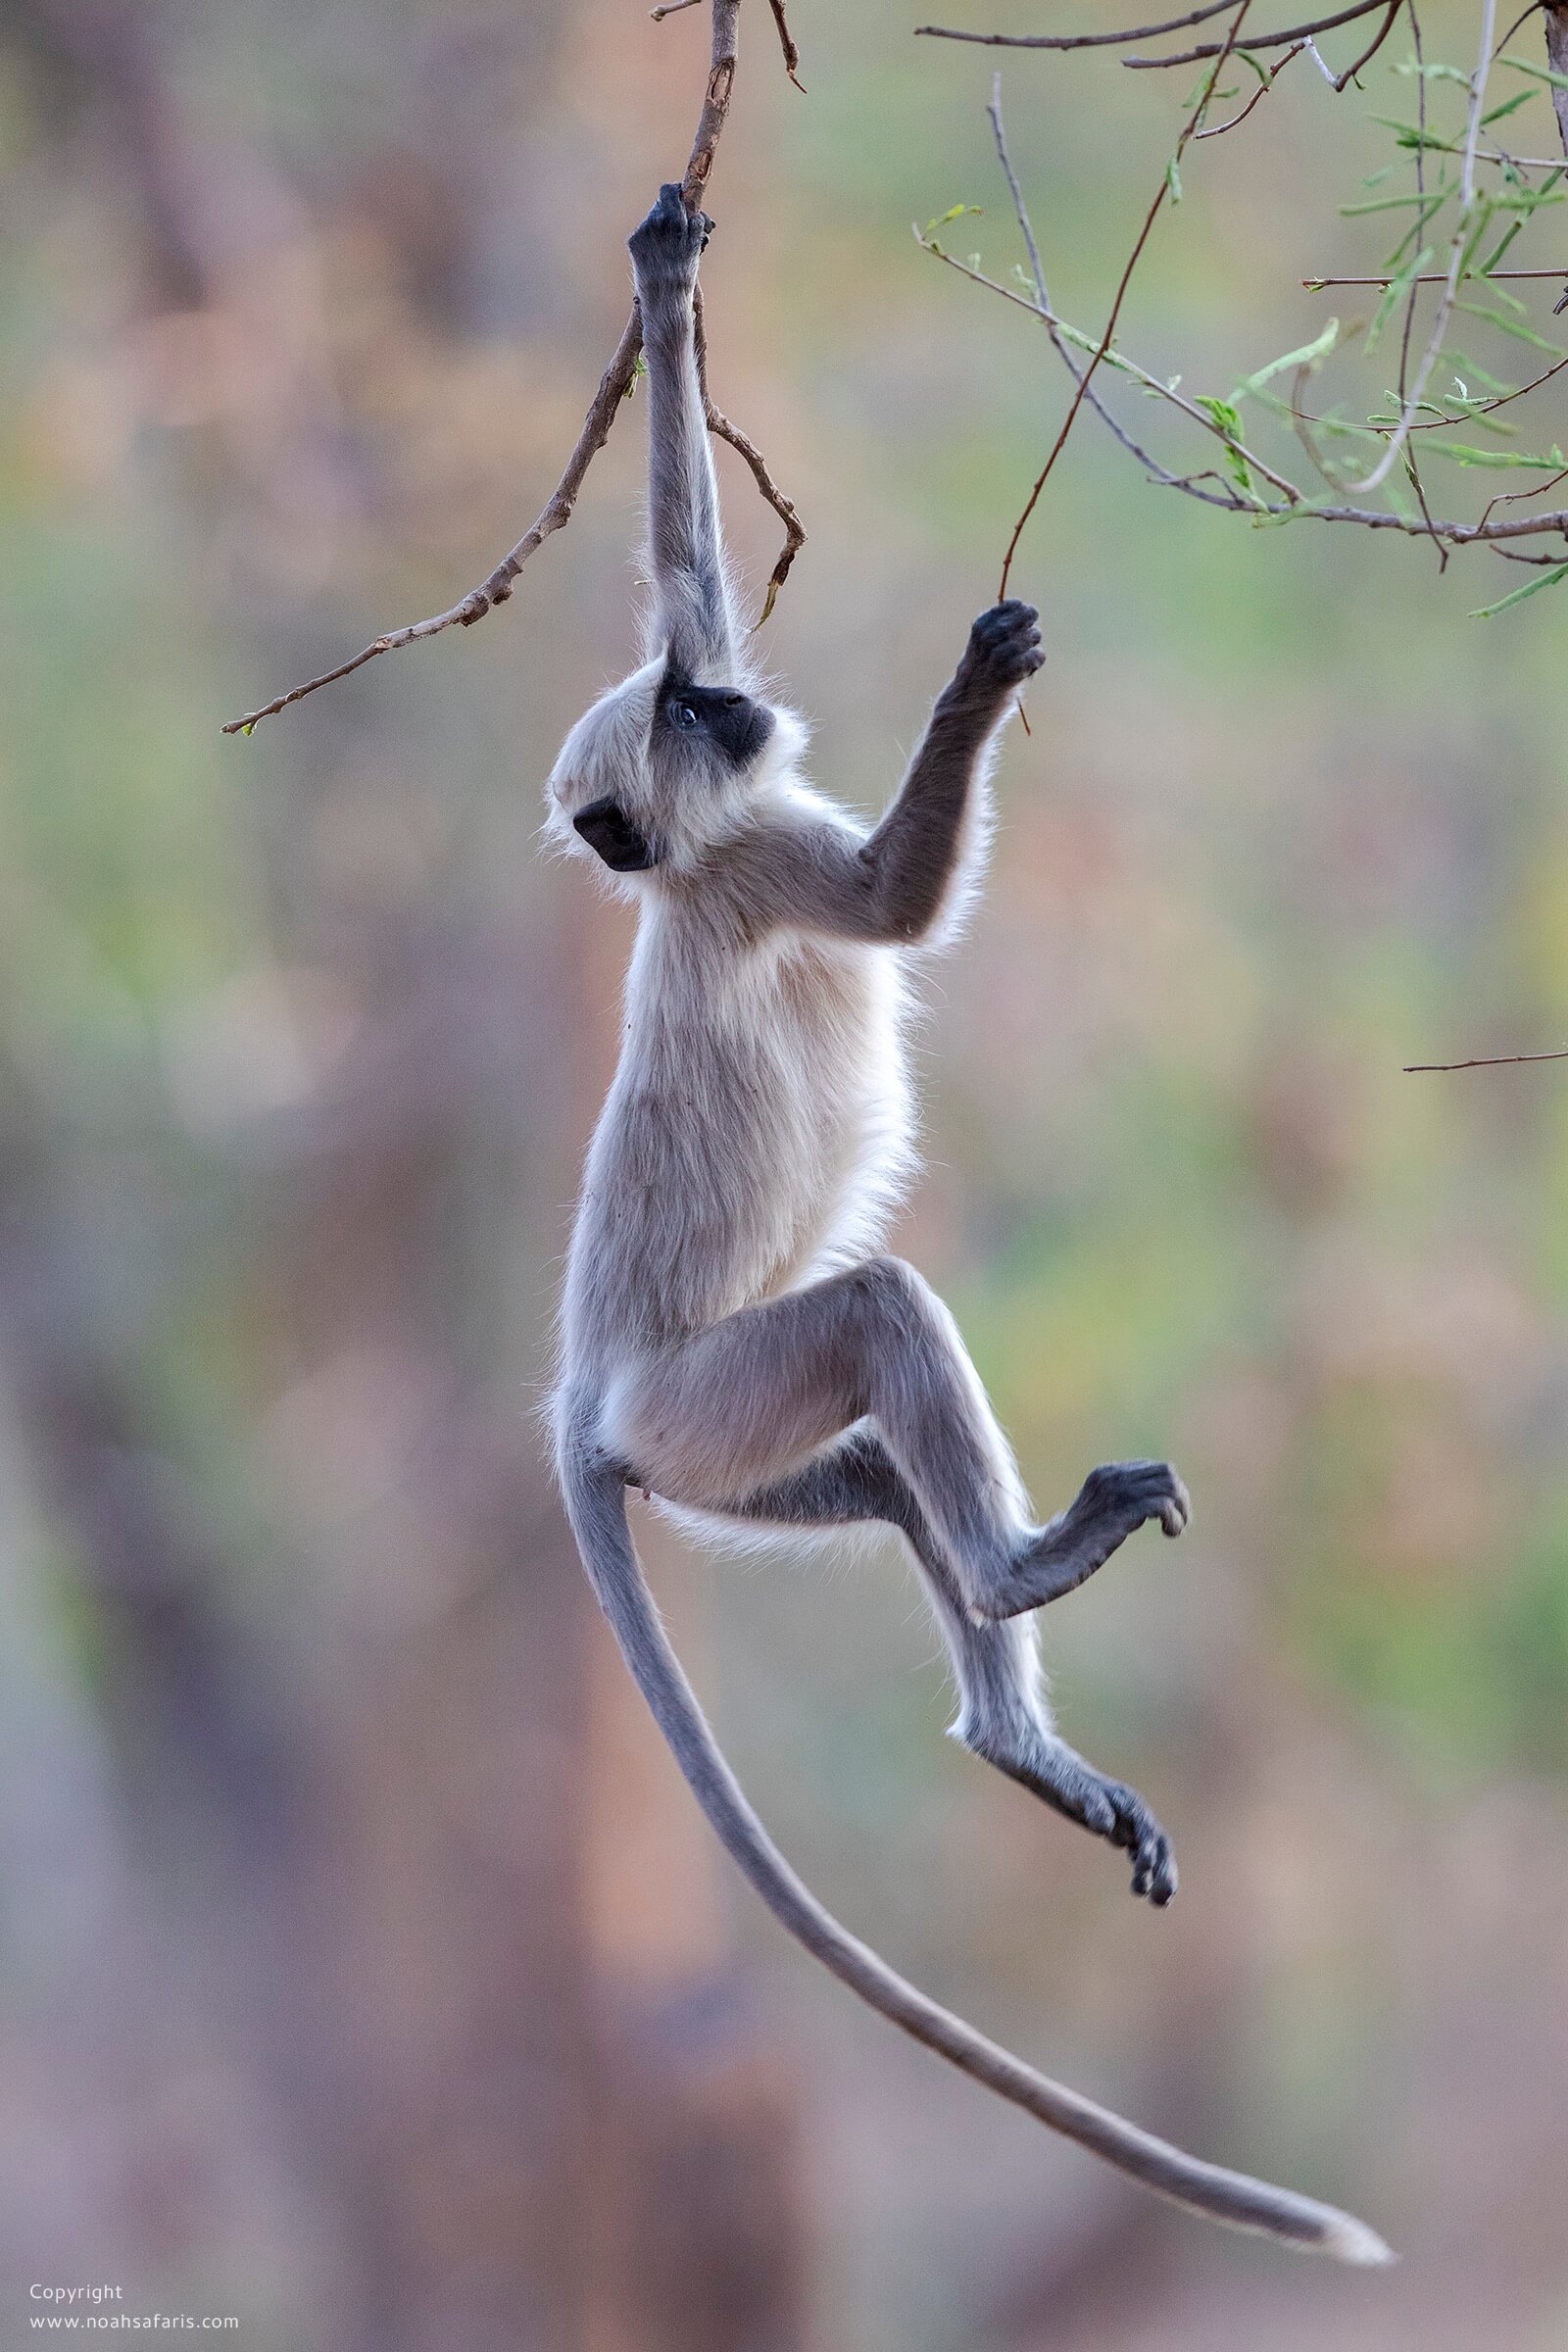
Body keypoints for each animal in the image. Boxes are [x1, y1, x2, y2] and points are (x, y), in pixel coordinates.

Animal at [544, 181, 1389, 2264]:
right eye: (693, 722)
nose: (736, 701)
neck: (678, 869)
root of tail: (584, 1409)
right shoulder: (765, 859)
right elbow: (896, 906)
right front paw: (975, 682)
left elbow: (683, 547)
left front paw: (665, 278)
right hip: (713, 1399)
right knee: (879, 1318)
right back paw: (1021, 1570)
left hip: (718, 1464)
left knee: (868, 1477)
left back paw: (1019, 1733)